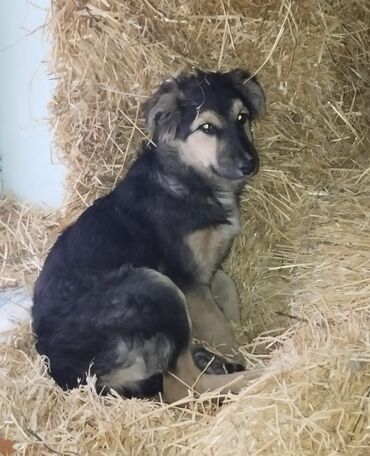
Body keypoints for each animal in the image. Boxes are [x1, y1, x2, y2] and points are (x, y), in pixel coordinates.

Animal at [30, 68, 264, 402]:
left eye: (242, 118)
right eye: (206, 127)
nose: (249, 164)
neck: (187, 178)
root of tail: (64, 374)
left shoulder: (203, 272)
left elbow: (227, 287)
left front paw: (238, 327)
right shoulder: (185, 281)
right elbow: (220, 327)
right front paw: (238, 353)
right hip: (154, 286)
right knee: (182, 385)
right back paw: (250, 378)